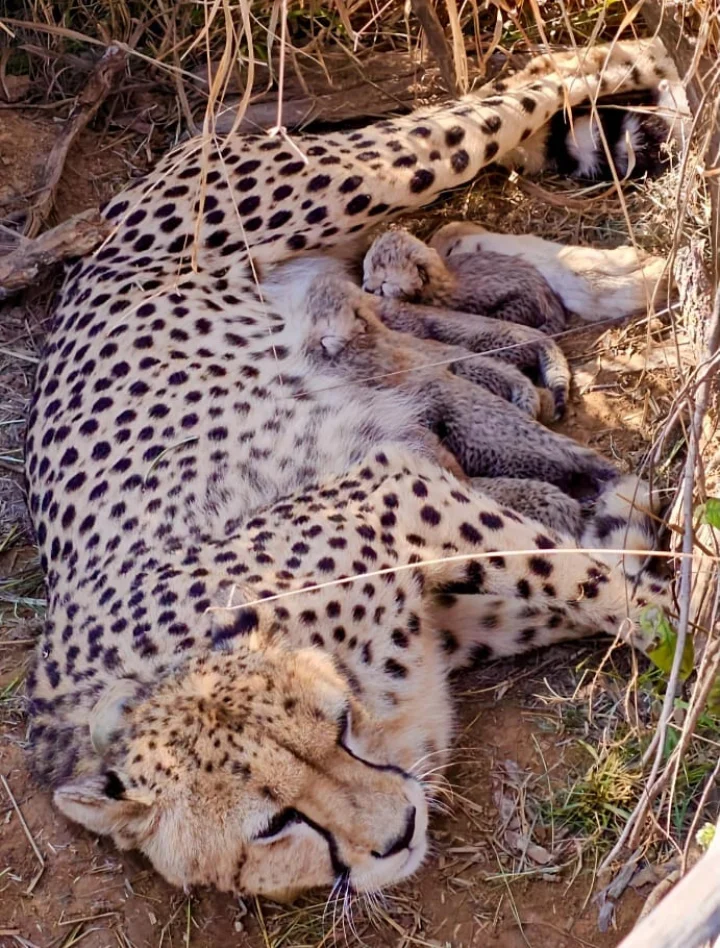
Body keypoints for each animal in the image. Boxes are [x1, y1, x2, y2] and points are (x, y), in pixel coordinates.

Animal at [24, 38, 681, 903]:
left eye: (335, 727)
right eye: (274, 826)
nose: (398, 833)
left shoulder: (397, 493)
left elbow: (601, 586)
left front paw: (695, 631)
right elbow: (591, 574)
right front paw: (626, 528)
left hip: (362, 175)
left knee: (545, 78)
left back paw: (658, 77)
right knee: (462, 227)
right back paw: (617, 276)